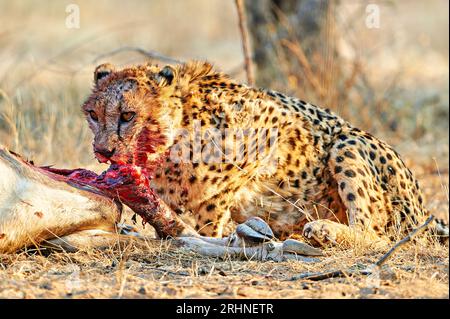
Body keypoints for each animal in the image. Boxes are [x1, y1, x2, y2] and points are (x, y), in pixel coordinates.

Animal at [82, 62, 448, 248]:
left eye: (128, 115)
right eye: (93, 115)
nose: (102, 150)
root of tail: (423, 209)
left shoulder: (274, 126)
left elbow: (215, 200)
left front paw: (208, 235)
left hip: (349, 144)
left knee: (380, 236)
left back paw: (324, 231)